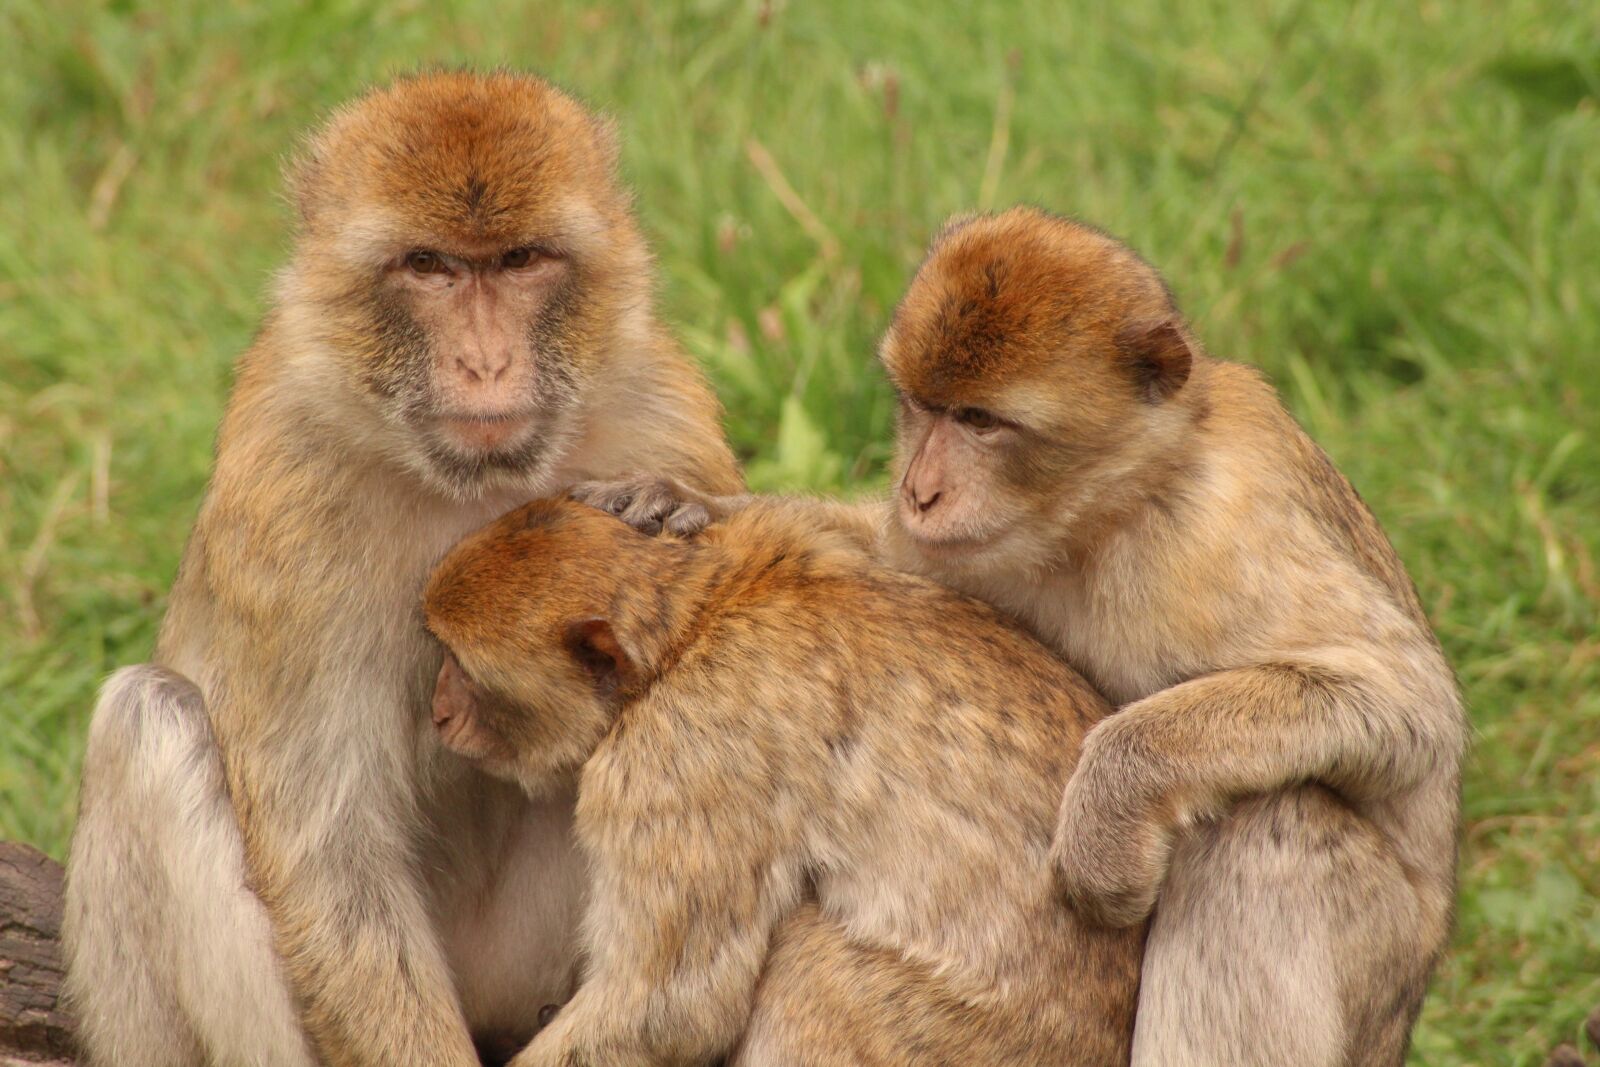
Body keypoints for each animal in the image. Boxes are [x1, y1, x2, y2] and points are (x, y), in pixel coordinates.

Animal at [61, 71, 742, 1067]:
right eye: (429, 267)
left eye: (522, 260)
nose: (486, 361)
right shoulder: (287, 503)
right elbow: (330, 853)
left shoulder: (668, 418)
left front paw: (667, 512)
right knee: (146, 716)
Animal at [422, 496, 1145, 1067]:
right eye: (441, 653)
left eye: (462, 666)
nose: (439, 711)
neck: (692, 623)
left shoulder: (680, 757)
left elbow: (668, 1010)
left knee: (803, 957)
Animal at [575, 207, 1468, 1067]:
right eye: (922, 405)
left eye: (981, 420)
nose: (920, 490)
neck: (1104, 515)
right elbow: (879, 559)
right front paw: (686, 504)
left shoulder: (1218, 533)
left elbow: (1404, 705)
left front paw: (1106, 816)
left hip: (1382, 968)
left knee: (1270, 826)